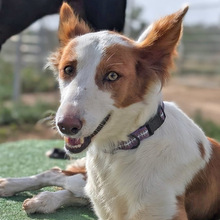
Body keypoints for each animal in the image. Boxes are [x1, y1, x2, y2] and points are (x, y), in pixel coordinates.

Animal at [0, 3, 220, 220]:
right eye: (68, 69)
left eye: (112, 75)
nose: (65, 126)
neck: (122, 148)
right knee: (59, 174)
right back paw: (15, 186)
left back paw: (44, 200)